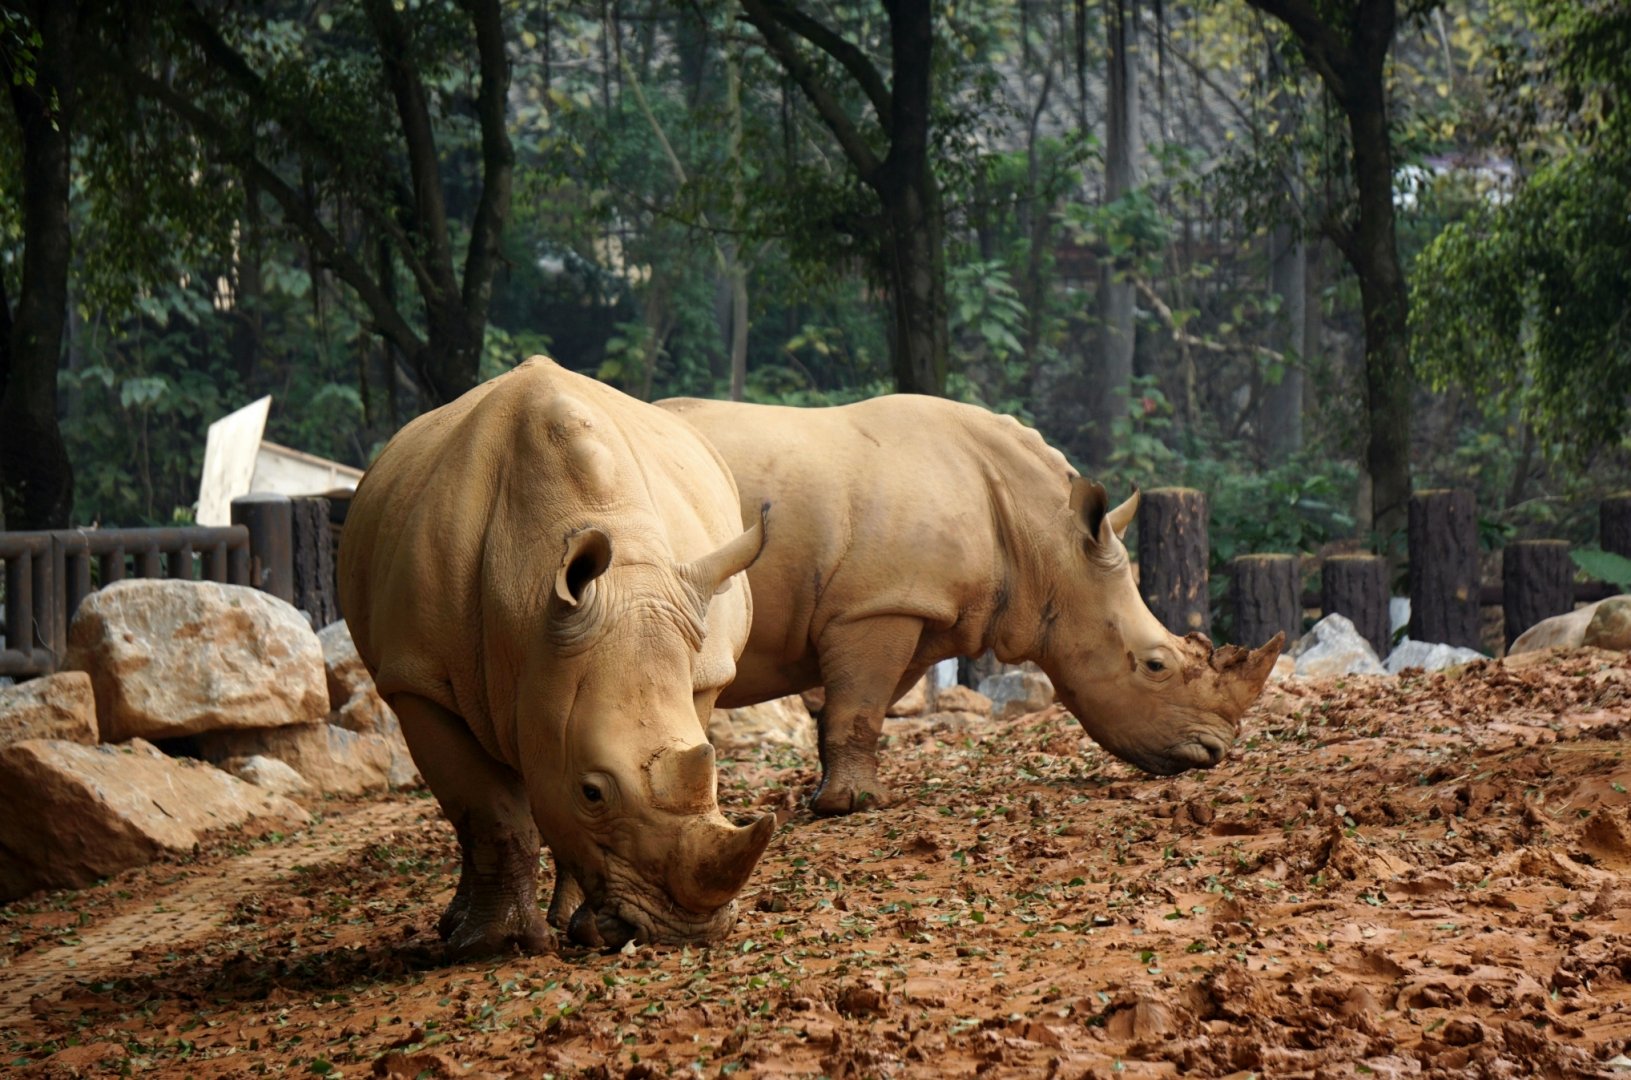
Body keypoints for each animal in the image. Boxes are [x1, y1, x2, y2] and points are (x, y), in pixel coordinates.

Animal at [341, 358, 776, 954]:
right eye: (592, 793)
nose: (685, 932)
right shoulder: (416, 680)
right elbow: (488, 812)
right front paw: (492, 945)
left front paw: (577, 932)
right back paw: (458, 929)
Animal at [657, 395, 1284, 814]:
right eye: (1156, 665)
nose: (1215, 751)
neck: (1044, 546)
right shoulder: (878, 605)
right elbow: (858, 705)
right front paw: (855, 805)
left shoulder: (909, 605)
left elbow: (862, 705)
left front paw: (831, 794)